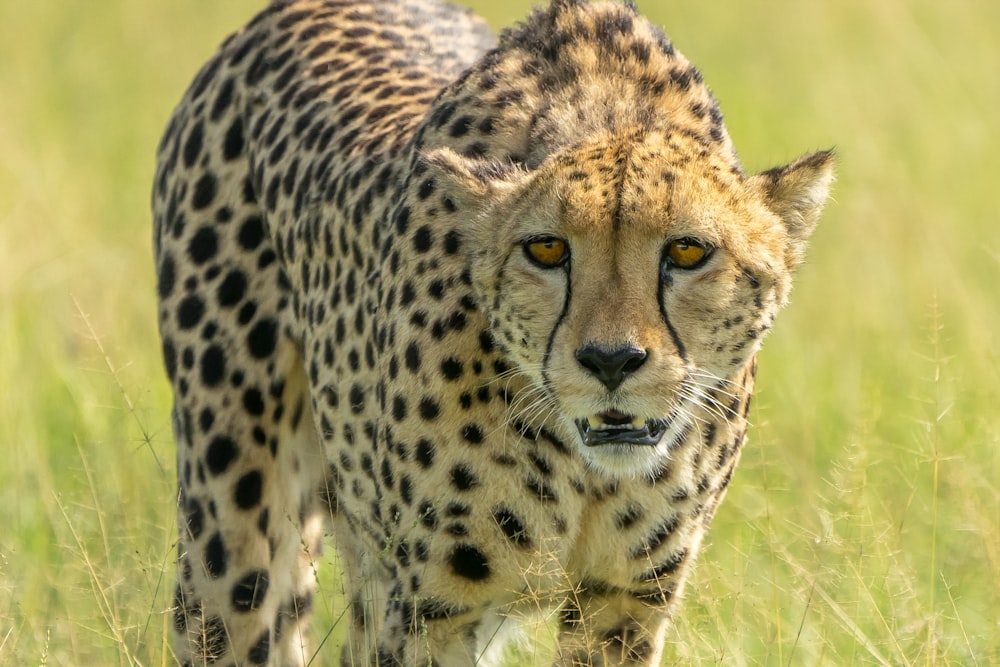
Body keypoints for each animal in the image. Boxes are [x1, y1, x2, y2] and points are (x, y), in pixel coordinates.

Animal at [152, 1, 832, 664]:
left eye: (688, 251)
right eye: (547, 249)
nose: (610, 361)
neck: (585, 471)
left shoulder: (624, 604)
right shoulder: (432, 609)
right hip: (232, 534)